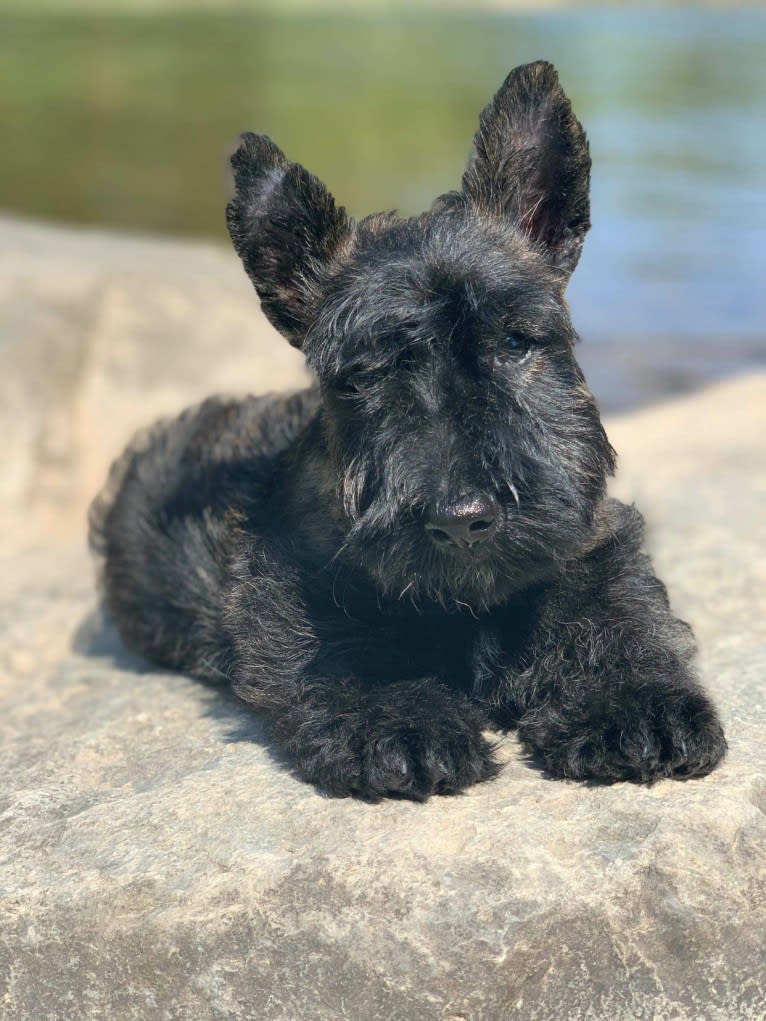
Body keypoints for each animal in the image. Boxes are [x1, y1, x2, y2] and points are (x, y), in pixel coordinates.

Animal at [89, 61, 727, 796]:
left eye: (515, 340)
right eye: (361, 376)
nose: (463, 520)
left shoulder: (592, 549)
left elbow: (611, 619)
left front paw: (634, 708)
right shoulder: (305, 585)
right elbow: (348, 651)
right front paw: (400, 721)